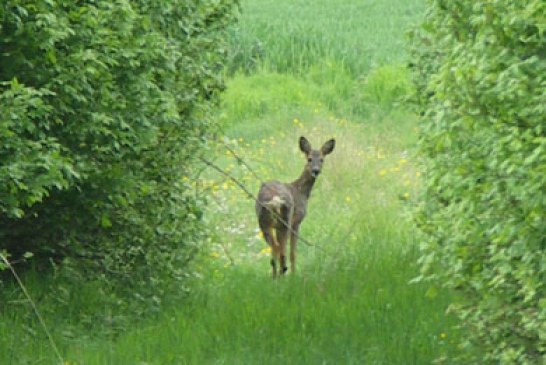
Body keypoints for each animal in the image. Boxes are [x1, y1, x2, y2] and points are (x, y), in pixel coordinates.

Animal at [256, 136, 336, 276]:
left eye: (322, 159)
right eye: (309, 158)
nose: (316, 171)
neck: (301, 191)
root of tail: (274, 199)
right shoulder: (297, 221)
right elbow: (293, 252)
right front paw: (294, 274)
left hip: (264, 222)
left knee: (275, 249)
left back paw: (275, 277)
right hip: (285, 221)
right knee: (281, 250)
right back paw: (283, 274)